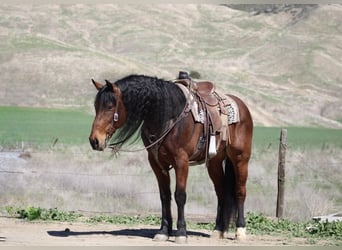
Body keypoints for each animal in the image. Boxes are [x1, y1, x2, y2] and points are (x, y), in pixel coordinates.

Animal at [89, 73, 252, 242]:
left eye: (109, 106)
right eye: (96, 106)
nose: (95, 140)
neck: (167, 116)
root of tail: (241, 105)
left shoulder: (181, 161)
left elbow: (180, 195)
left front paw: (181, 232)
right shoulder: (156, 163)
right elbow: (165, 196)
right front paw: (164, 231)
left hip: (241, 159)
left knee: (240, 191)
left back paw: (240, 230)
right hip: (214, 162)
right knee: (221, 192)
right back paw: (218, 230)